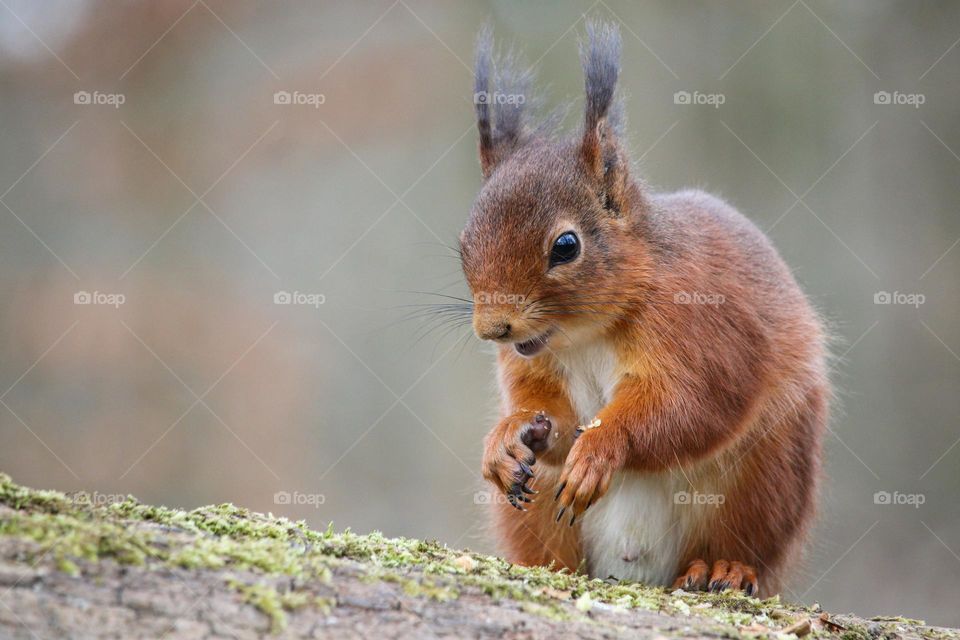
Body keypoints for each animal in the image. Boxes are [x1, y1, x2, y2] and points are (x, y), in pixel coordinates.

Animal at [462, 21, 828, 600]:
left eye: (566, 246)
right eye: (463, 241)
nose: (493, 329)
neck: (587, 333)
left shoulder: (705, 327)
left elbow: (689, 406)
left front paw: (601, 446)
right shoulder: (535, 362)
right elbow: (553, 419)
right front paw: (509, 437)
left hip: (766, 476)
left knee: (742, 540)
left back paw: (722, 568)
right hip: (534, 517)